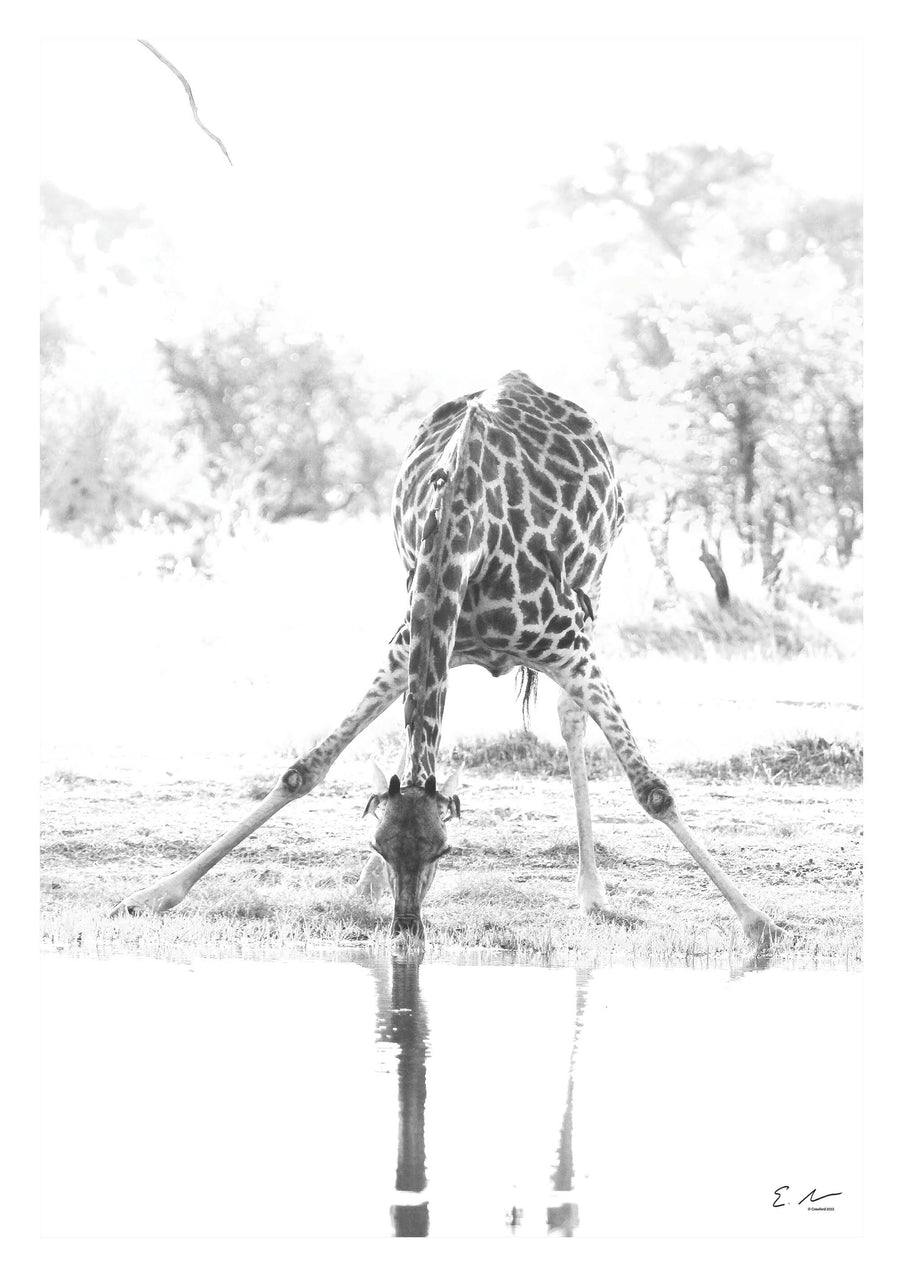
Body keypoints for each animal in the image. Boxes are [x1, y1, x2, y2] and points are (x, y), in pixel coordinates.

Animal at [113, 370, 783, 947]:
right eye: (382, 847)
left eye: (444, 852)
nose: (406, 929)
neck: (464, 539)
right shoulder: (405, 645)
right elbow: (305, 770)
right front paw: (151, 895)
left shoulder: (570, 647)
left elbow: (653, 790)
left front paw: (759, 921)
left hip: (596, 587)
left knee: (570, 723)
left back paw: (593, 893)